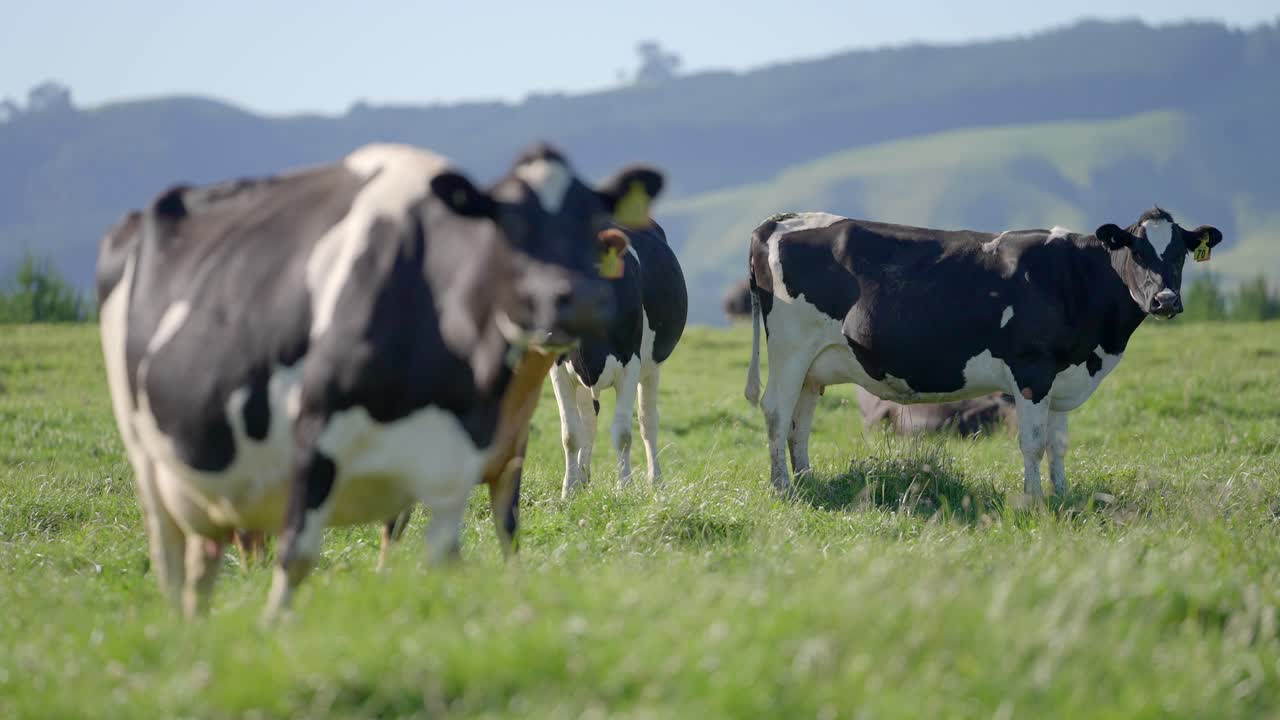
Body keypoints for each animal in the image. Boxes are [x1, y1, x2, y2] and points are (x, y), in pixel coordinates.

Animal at [96, 142, 664, 619]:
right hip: (150, 458)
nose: (567, 302)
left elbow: (486, 540)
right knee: (177, 554)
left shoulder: (484, 458)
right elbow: (321, 548)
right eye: (507, 230)